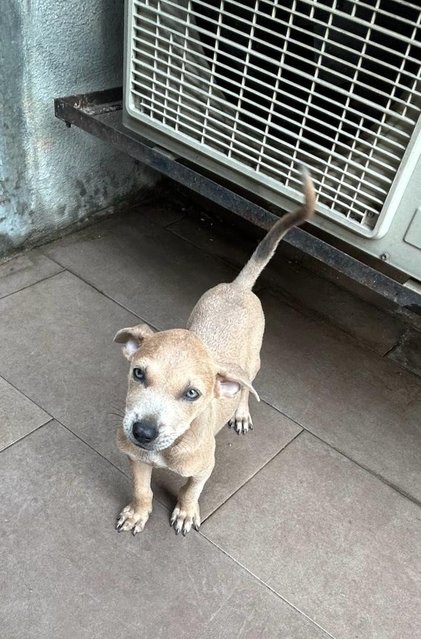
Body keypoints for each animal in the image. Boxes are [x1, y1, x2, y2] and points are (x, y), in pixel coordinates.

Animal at [113, 170, 314, 536]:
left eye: (192, 394)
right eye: (138, 373)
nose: (142, 432)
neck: (172, 447)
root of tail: (238, 286)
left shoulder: (205, 466)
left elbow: (191, 489)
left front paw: (185, 512)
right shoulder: (135, 458)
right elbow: (141, 488)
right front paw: (138, 512)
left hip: (254, 361)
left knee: (246, 386)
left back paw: (241, 412)